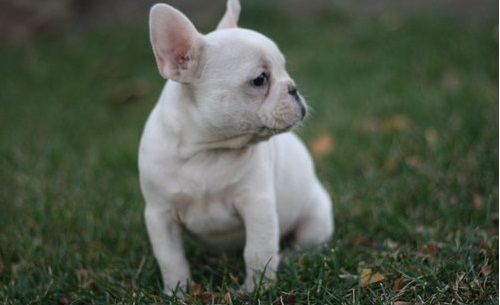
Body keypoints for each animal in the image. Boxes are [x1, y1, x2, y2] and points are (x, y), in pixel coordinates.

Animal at [139, 0, 334, 294]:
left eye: (285, 69)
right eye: (260, 79)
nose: (294, 88)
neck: (205, 151)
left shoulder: (257, 205)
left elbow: (257, 252)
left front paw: (256, 289)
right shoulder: (160, 215)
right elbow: (170, 257)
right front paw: (178, 291)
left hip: (315, 222)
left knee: (301, 246)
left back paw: (286, 257)